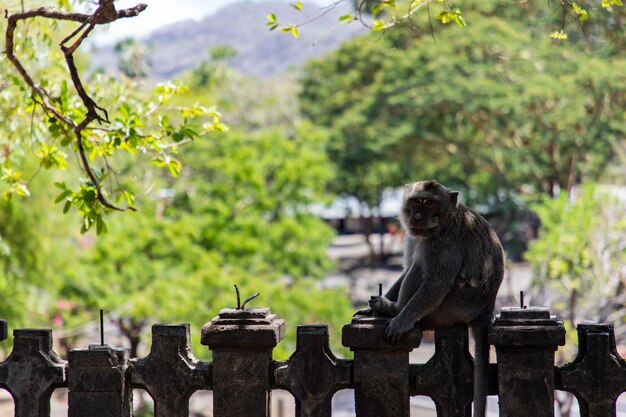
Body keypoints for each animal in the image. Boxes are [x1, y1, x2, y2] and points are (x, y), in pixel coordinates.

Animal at [356, 180, 502, 416]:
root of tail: (486, 310)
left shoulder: (442, 243)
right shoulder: (414, 235)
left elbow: (436, 283)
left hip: (453, 306)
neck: (443, 222)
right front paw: (374, 308)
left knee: (421, 267)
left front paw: (400, 321)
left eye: (429, 203)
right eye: (417, 201)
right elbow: (407, 268)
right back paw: (388, 307)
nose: (417, 217)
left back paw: (396, 311)